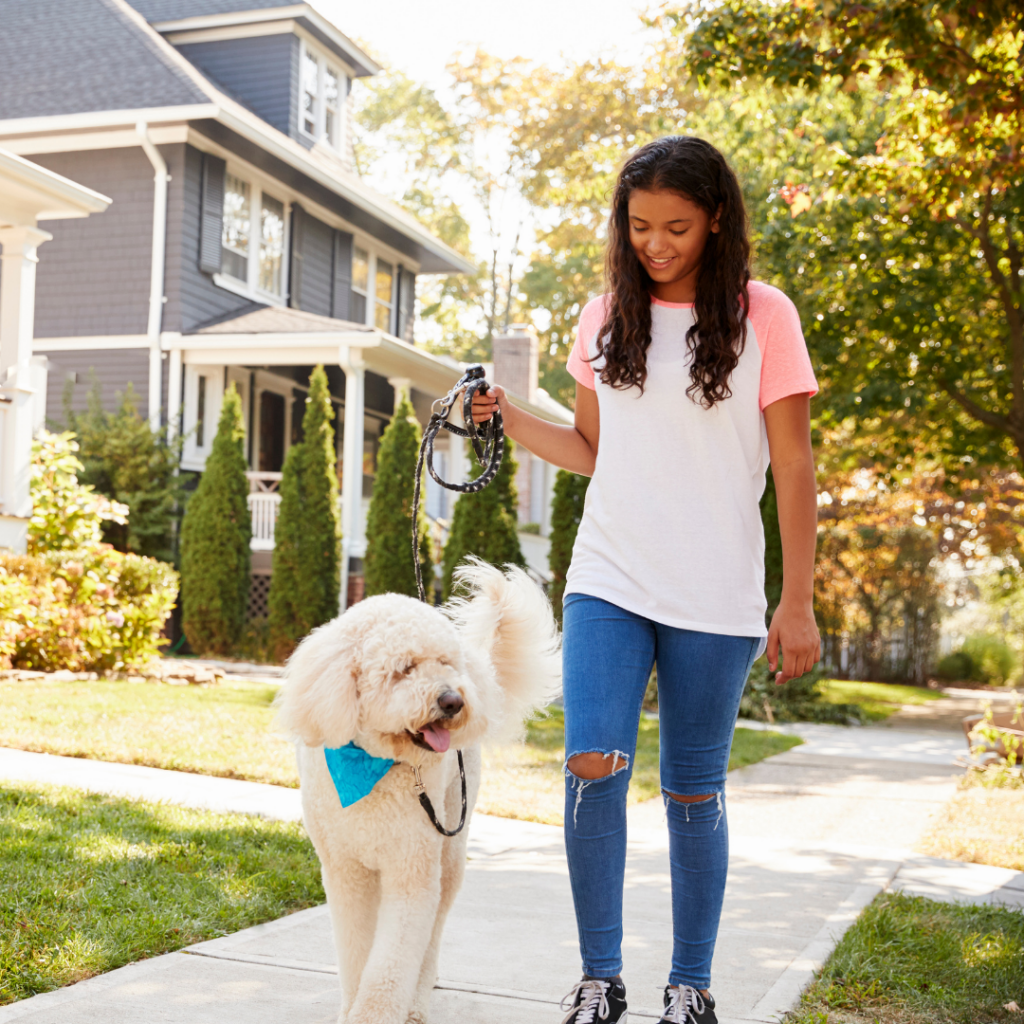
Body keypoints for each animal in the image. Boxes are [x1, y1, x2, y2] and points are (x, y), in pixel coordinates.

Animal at [276, 561, 561, 1024]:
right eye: (404, 668)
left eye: (445, 662)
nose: (452, 701)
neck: (376, 767)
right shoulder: (345, 871)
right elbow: (356, 949)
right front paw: (351, 1006)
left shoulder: (411, 870)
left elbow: (394, 957)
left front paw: (375, 1014)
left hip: (451, 848)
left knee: (433, 931)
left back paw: (417, 1001)